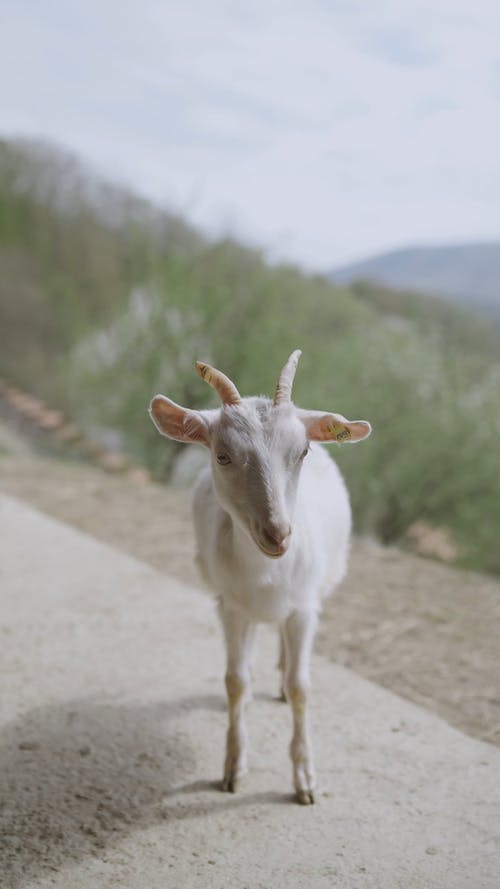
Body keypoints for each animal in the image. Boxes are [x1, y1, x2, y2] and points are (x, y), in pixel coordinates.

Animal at [149, 352, 372, 804]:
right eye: (222, 456)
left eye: (302, 451)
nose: (278, 533)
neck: (267, 572)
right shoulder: (231, 607)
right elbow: (235, 682)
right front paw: (233, 768)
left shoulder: (304, 609)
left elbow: (303, 686)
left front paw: (305, 780)